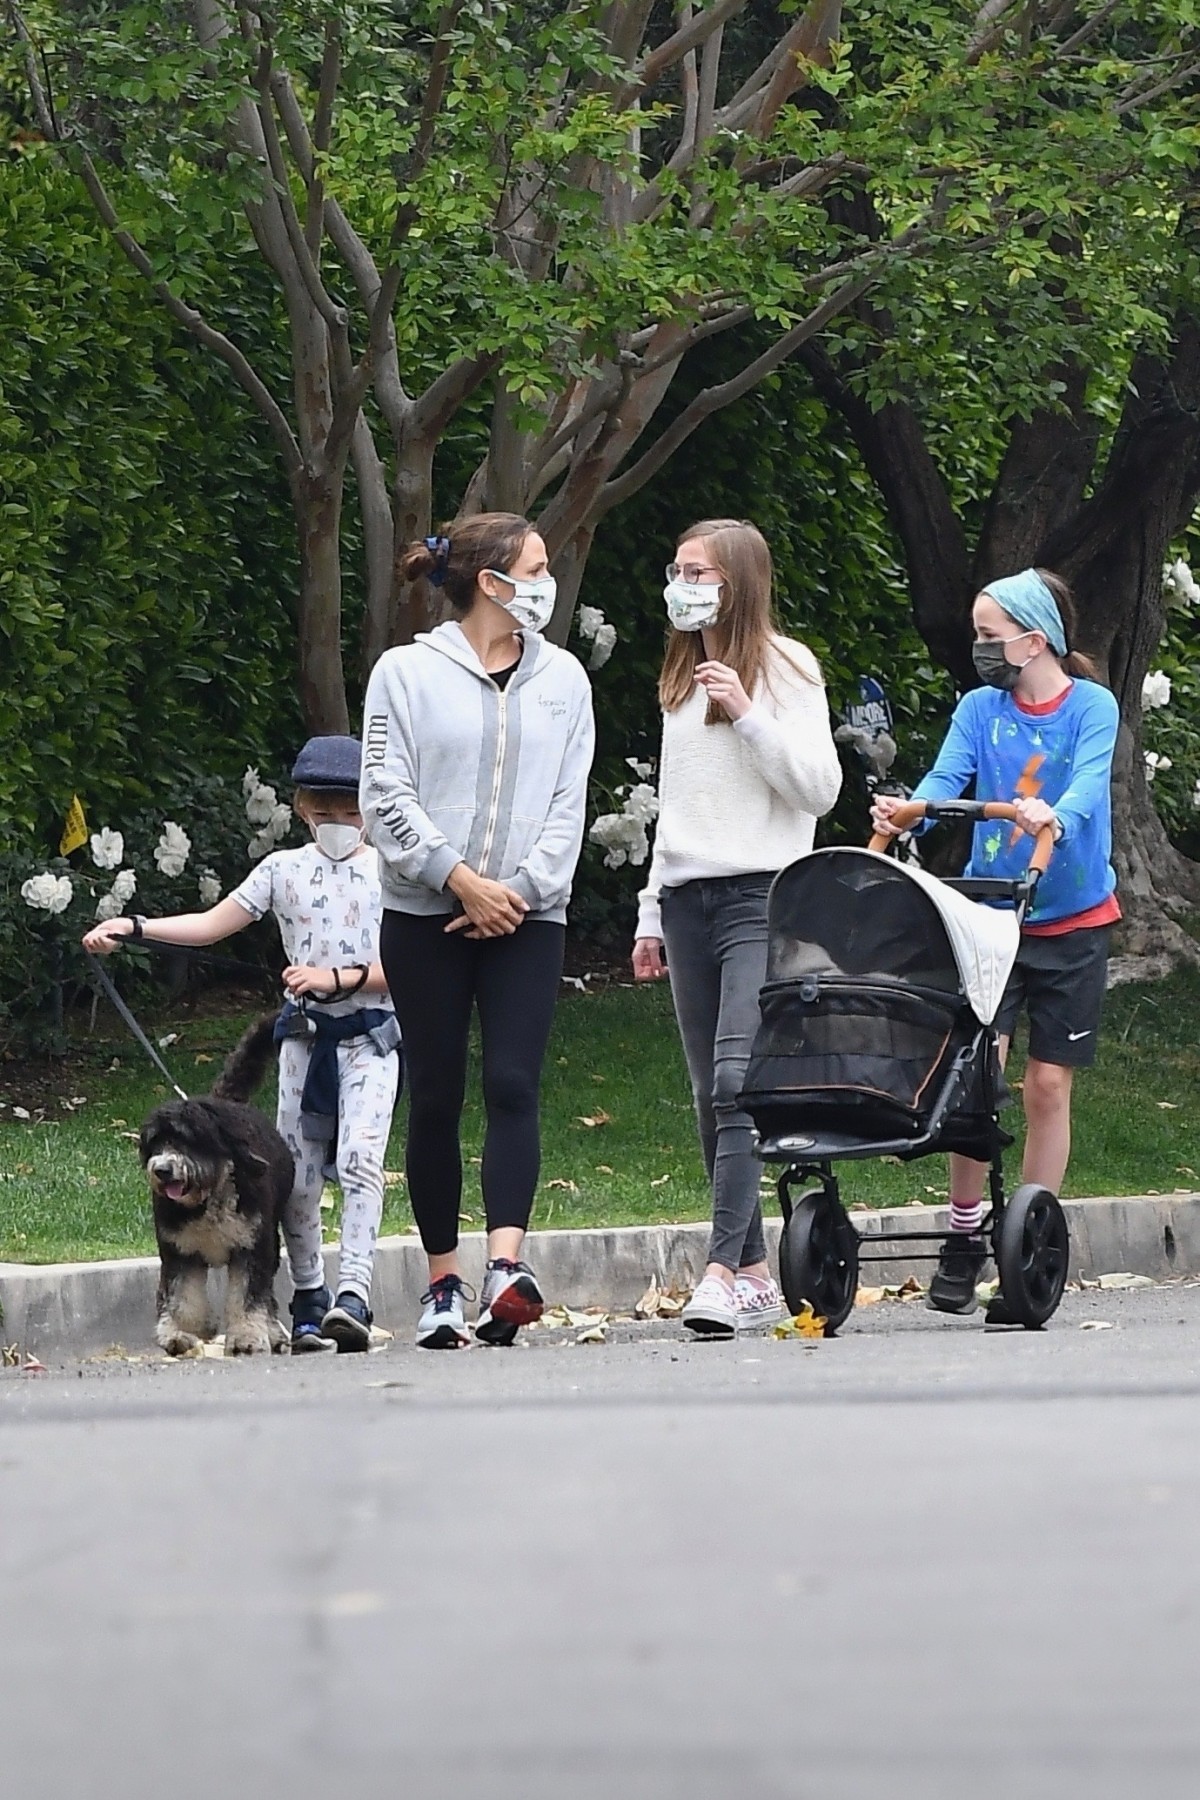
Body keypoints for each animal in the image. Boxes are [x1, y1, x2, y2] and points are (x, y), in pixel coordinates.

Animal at [136, 1022, 293, 1353]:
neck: (208, 1200)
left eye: (185, 1140)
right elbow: (183, 1300)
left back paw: (272, 1332)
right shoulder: (180, 1252)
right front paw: (181, 1334)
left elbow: (247, 1298)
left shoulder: (252, 1248)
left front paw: (246, 1337)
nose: (162, 1170)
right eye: (155, 1142)